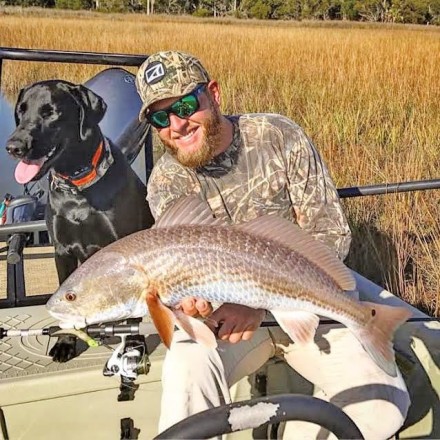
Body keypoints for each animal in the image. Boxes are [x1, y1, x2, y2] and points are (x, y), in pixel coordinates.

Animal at [6, 81, 155, 362]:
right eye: (21, 110)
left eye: (50, 112)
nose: (13, 146)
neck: (77, 187)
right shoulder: (62, 251)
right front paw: (65, 343)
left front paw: (132, 343)